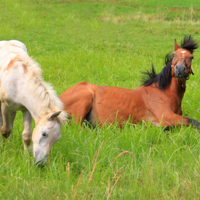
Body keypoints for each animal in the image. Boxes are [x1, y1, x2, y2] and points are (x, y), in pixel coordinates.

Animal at [59, 35, 200, 130]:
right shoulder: (166, 117)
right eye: (174, 55)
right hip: (85, 98)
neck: (163, 92)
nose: (179, 70)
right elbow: (194, 122)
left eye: (191, 57)